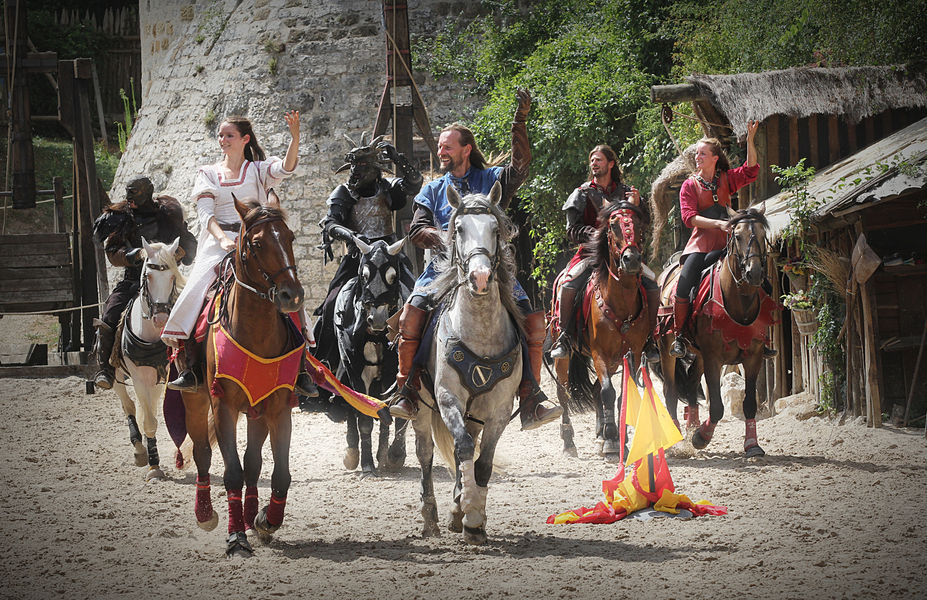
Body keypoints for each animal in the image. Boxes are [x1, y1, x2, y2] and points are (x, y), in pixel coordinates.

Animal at [112, 237, 185, 480]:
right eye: (148, 276)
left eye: (172, 276)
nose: (161, 318)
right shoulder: (139, 379)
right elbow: (148, 419)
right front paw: (152, 464)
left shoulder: (161, 377)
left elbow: (153, 417)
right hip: (116, 374)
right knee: (128, 406)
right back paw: (139, 450)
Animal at [183, 192, 306, 556]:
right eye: (256, 243)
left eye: (290, 237)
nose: (291, 295)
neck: (256, 333)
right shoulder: (222, 405)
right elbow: (232, 472)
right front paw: (235, 537)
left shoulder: (278, 408)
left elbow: (279, 473)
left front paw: (266, 520)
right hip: (196, 402)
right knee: (202, 453)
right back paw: (206, 514)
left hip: (256, 412)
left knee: (253, 463)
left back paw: (252, 517)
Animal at [412, 182, 520, 544]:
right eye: (458, 229)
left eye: (495, 229)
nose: (481, 277)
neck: (481, 335)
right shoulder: (447, 398)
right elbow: (461, 447)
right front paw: (469, 512)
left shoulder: (499, 410)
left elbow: (482, 461)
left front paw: (473, 518)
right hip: (421, 408)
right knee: (426, 454)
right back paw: (430, 517)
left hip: (474, 413)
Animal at [552, 204, 652, 458]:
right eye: (613, 226)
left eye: (638, 224)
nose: (631, 259)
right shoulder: (600, 353)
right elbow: (608, 392)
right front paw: (611, 441)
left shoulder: (632, 353)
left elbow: (623, 394)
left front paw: (616, 439)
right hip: (565, 356)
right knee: (563, 392)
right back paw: (569, 441)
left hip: (615, 360)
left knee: (597, 389)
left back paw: (601, 435)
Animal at [656, 204, 780, 458]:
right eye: (737, 236)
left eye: (762, 235)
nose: (754, 272)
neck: (739, 301)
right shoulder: (714, 358)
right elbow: (717, 407)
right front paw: (700, 438)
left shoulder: (753, 357)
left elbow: (749, 404)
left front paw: (752, 445)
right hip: (666, 346)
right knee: (670, 390)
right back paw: (676, 439)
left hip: (700, 354)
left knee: (691, 381)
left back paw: (692, 423)